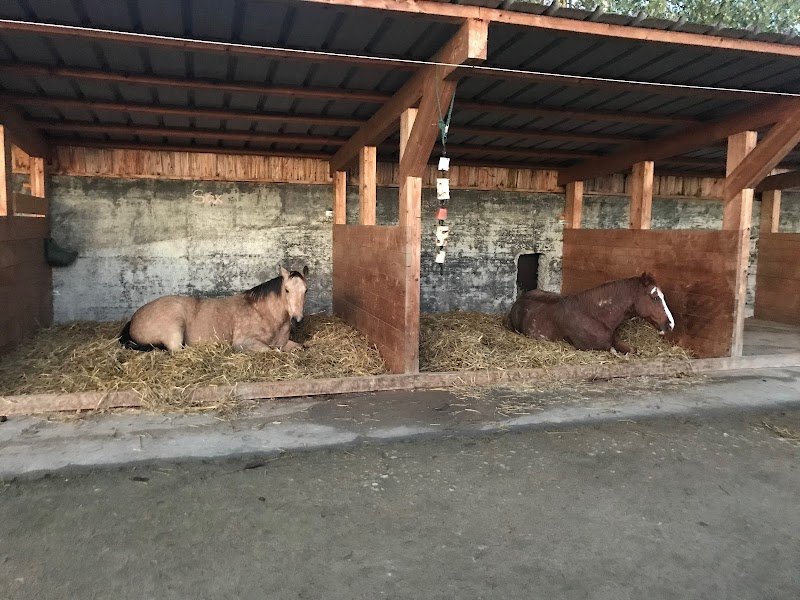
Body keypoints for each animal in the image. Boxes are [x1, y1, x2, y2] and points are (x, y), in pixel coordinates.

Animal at [119, 266, 309, 352]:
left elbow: (300, 347)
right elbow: (271, 351)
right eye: (287, 290)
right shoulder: (244, 343)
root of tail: (134, 318)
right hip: (174, 329)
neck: (264, 314)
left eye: (306, 290)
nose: (297, 320)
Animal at [508, 272, 675, 354]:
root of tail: (520, 299)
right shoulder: (592, 347)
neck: (594, 316)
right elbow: (614, 351)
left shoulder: (614, 340)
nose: (670, 324)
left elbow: (633, 350)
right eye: (655, 297)